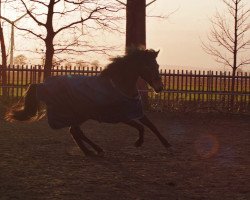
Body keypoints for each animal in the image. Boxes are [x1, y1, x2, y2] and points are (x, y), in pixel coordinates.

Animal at [4, 48, 171, 156]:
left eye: (157, 66)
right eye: (148, 66)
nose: (160, 88)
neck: (120, 86)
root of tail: (43, 85)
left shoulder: (135, 110)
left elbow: (151, 126)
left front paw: (167, 144)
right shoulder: (121, 116)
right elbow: (141, 127)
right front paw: (138, 142)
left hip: (80, 115)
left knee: (75, 131)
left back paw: (93, 150)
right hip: (78, 115)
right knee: (75, 131)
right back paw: (93, 150)